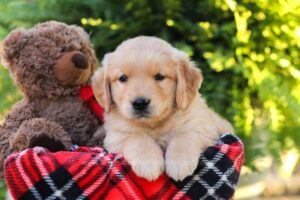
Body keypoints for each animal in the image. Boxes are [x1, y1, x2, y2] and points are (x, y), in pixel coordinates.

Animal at [92, 36, 233, 181]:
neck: (155, 124)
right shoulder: (115, 137)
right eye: (123, 78)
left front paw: (179, 162)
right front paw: (148, 161)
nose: (140, 103)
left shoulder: (207, 130)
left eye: (160, 76)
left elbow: (185, 134)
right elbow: (136, 136)